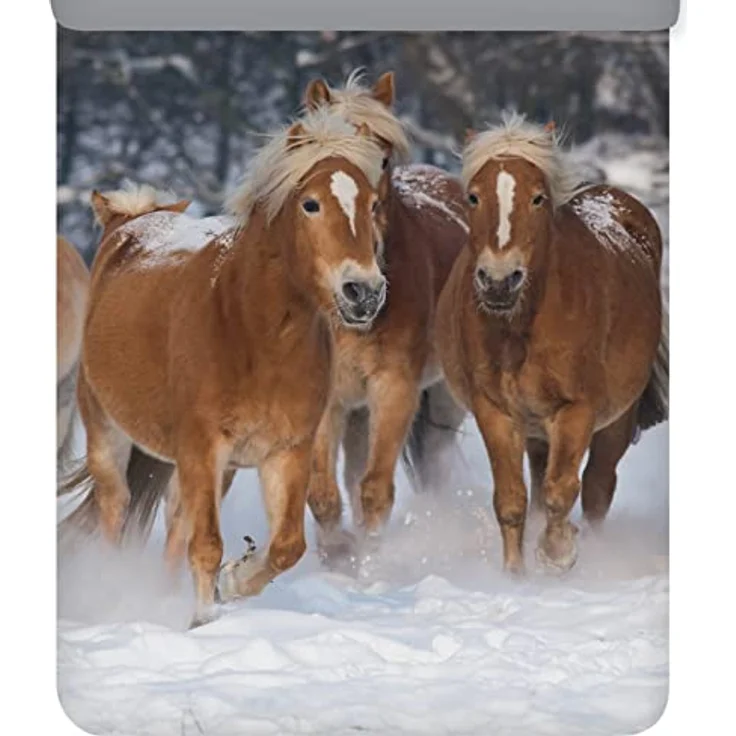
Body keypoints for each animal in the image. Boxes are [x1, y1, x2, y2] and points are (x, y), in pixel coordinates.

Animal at [58, 108, 387, 627]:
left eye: (373, 204)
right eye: (310, 204)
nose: (364, 292)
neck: (252, 333)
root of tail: (128, 221)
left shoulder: (284, 452)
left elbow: (285, 547)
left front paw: (231, 583)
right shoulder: (203, 447)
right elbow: (208, 545)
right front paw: (208, 613)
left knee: (175, 525)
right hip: (108, 434)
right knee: (116, 509)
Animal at [299, 70, 469, 559]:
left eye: (385, 159)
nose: (363, 289)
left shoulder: (395, 388)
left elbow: (375, 491)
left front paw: (373, 561)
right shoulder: (331, 399)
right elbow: (324, 493)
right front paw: (338, 554)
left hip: (444, 399)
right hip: (357, 411)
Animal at [435, 112, 668, 575]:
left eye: (538, 198)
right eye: (473, 196)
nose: (499, 280)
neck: (521, 329)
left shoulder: (577, 410)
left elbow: (564, 491)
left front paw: (558, 554)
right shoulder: (496, 412)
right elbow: (512, 501)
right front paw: (516, 575)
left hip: (616, 419)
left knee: (597, 487)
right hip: (537, 430)